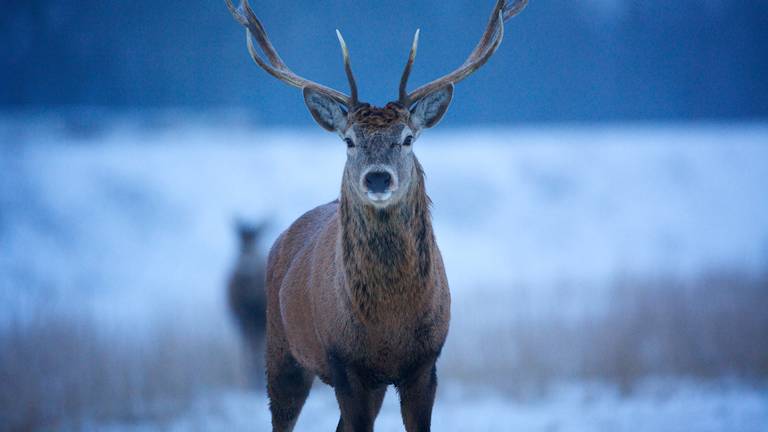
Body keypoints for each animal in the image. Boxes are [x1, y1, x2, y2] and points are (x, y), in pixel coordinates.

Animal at [224, 0, 528, 430]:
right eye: (350, 141)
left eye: (408, 138)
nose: (379, 177)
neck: (389, 324)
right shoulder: (345, 365)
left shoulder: (424, 364)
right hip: (280, 347)